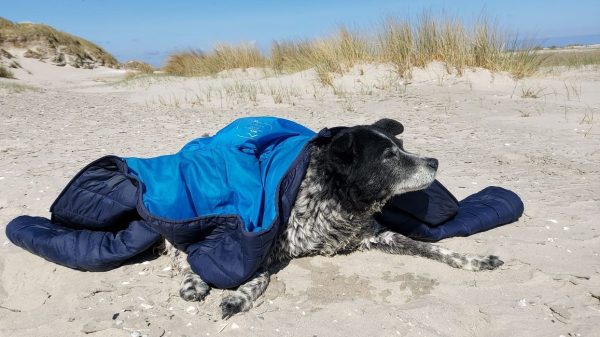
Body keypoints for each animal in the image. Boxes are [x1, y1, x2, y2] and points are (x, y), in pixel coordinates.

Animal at [163, 118, 502, 318]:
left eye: (402, 147)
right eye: (388, 156)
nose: (434, 161)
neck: (334, 193)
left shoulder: (377, 235)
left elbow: (433, 248)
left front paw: (474, 260)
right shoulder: (263, 239)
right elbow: (259, 274)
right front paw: (239, 297)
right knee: (184, 254)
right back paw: (193, 282)